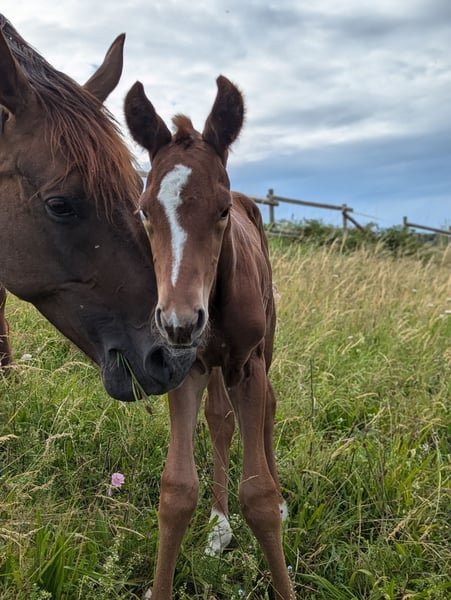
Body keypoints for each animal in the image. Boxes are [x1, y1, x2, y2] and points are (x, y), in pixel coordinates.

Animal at [125, 76, 294, 599]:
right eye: (144, 212)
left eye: (221, 211)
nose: (180, 322)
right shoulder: (188, 367)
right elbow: (177, 490)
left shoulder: (249, 365)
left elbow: (259, 495)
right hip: (215, 363)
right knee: (220, 419)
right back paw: (219, 524)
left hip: (262, 347)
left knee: (269, 409)